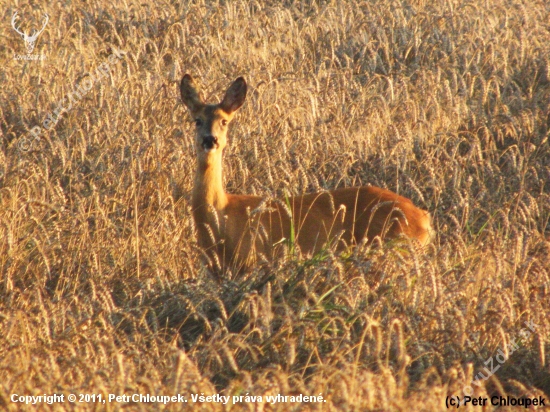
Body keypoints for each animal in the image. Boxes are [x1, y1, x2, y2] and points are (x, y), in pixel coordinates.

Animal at [181, 75, 436, 276]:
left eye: (224, 121)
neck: (220, 215)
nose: (210, 139)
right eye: (197, 120)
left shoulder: (251, 262)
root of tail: (424, 218)